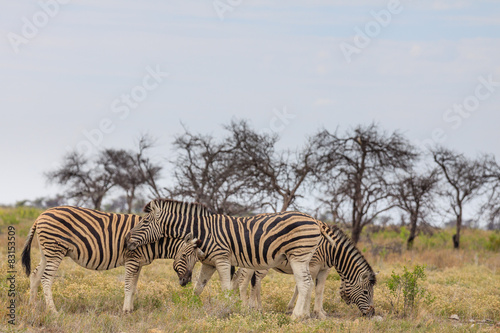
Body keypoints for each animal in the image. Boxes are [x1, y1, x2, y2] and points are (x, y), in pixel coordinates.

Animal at [21, 205, 201, 312]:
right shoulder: (132, 259)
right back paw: (53, 311)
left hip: (47, 251)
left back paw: (32, 306)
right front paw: (126, 311)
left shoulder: (139, 263)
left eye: (197, 260)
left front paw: (131, 309)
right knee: (46, 278)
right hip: (55, 250)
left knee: (36, 275)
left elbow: (134, 287)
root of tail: (41, 215)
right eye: (184, 256)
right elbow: (128, 286)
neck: (154, 240)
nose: (186, 281)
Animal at [126, 198, 324, 318]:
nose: (127, 240)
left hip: (298, 256)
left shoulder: (222, 259)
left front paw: (228, 311)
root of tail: (315, 220)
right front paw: (191, 307)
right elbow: (198, 288)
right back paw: (304, 315)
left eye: (144, 222)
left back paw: (296, 316)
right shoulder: (209, 263)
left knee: (304, 283)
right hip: (303, 258)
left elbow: (227, 288)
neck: (204, 232)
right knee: (307, 282)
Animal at [230, 223, 376, 316]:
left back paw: (236, 302)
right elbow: (306, 287)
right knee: (253, 281)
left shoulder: (324, 269)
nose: (371, 313)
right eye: (365, 292)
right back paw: (252, 308)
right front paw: (307, 311)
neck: (331, 250)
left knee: (240, 278)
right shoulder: (313, 265)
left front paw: (320, 312)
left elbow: (319, 289)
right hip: (259, 265)